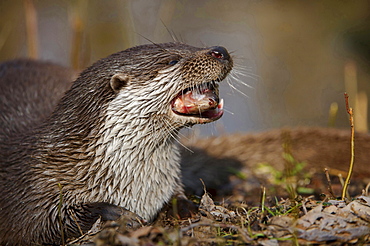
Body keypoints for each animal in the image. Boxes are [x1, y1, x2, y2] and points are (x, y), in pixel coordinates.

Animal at [0, 42, 233, 244]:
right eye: (172, 60)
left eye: (188, 45)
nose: (219, 50)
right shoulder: (33, 190)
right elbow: (42, 225)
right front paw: (115, 214)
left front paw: (185, 206)